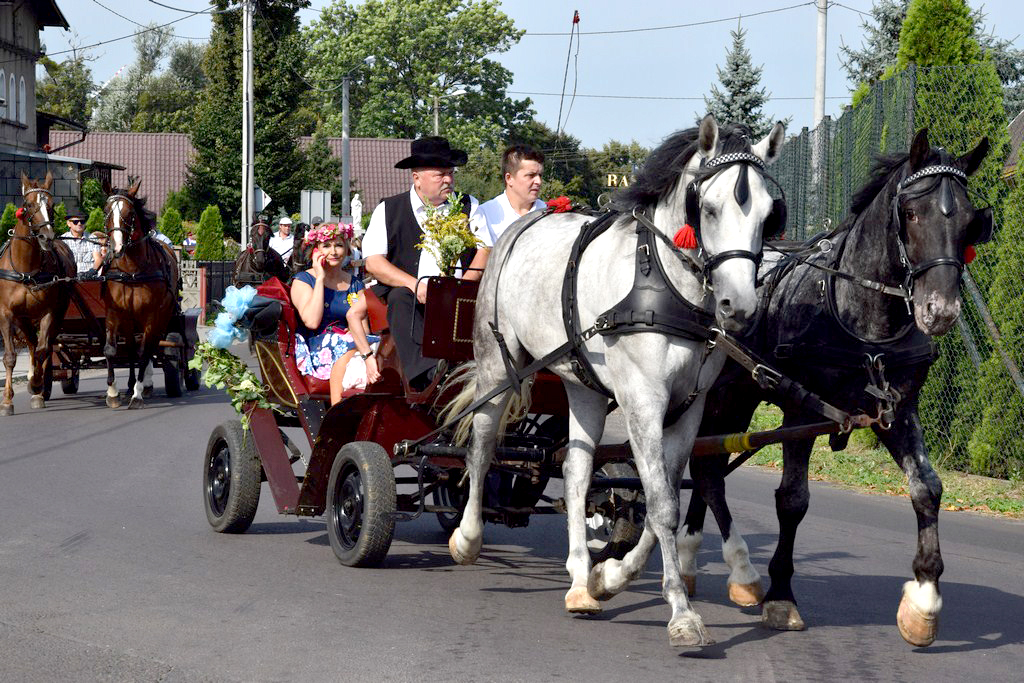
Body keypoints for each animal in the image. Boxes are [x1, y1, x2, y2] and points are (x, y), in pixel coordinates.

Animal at [0, 174, 74, 413]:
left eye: (51, 205)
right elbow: (10, 357)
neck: (26, 268)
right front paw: (7, 400)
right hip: (23, 318)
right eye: (29, 205)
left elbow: (43, 350)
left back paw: (38, 385)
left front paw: (36, 387)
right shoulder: (7, 314)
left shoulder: (48, 312)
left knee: (45, 346)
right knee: (31, 344)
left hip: (58, 314)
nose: (46, 236)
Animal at [100, 179, 179, 409]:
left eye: (129, 213)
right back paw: (129, 385)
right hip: (129, 319)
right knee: (131, 348)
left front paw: (138, 394)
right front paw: (113, 393)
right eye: (106, 211)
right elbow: (112, 350)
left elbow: (145, 352)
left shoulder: (151, 315)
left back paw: (144, 385)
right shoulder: (114, 312)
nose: (116, 247)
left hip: (162, 317)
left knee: (150, 346)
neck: (131, 270)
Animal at [448, 116, 782, 647]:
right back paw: (467, 536)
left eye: (769, 216)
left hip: (581, 383)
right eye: (709, 209)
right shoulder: (642, 400)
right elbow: (663, 505)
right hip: (496, 362)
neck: (665, 284)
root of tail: (523, 225)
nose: (740, 306)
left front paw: (610, 577)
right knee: (481, 443)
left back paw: (579, 580)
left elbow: (662, 497)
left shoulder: (689, 408)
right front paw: (682, 613)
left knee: (576, 472)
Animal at [679, 127, 991, 647]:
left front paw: (924, 601)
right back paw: (736, 571)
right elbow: (792, 500)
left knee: (708, 467)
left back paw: (688, 558)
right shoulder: (802, 413)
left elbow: (927, 489)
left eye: (970, 221)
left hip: (738, 396)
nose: (940, 311)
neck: (857, 317)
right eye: (912, 214)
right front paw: (781, 595)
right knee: (703, 469)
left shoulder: (898, 410)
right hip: (722, 394)